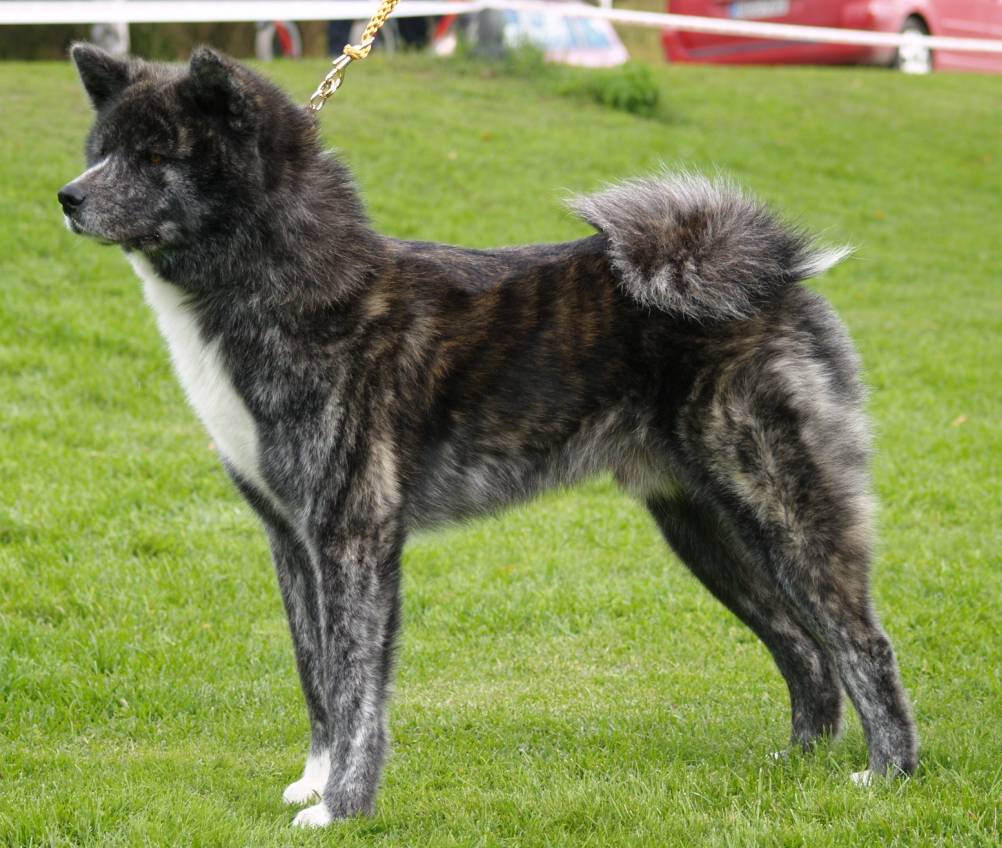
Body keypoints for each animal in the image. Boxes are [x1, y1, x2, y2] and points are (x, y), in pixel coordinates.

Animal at [62, 44, 917, 821]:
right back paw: (798, 764)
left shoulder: (354, 533)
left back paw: (888, 777)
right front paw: (315, 781)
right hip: (703, 525)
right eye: (98, 150)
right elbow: (316, 676)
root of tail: (776, 276)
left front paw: (343, 807)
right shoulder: (290, 537)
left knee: (862, 644)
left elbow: (356, 685)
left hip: (782, 506)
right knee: (802, 645)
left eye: (155, 155)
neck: (284, 278)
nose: (67, 197)